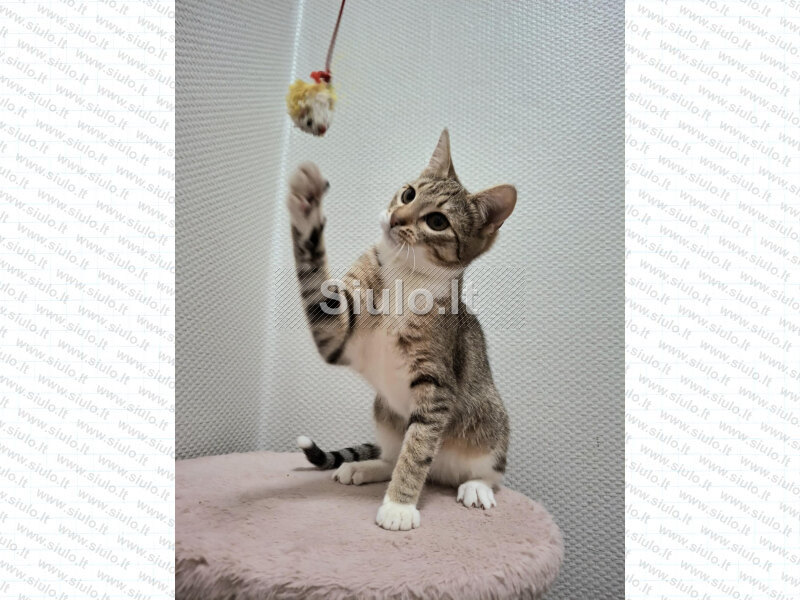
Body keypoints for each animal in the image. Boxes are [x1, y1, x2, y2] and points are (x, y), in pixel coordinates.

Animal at [287, 129, 516, 531]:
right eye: (408, 194)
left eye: (437, 221)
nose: (396, 217)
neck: (403, 276)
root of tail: (442, 473)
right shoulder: (339, 336)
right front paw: (306, 206)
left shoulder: (437, 386)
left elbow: (419, 445)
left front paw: (399, 506)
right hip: (384, 411)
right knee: (393, 454)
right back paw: (366, 467)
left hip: (490, 420)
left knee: (486, 470)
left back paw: (476, 487)